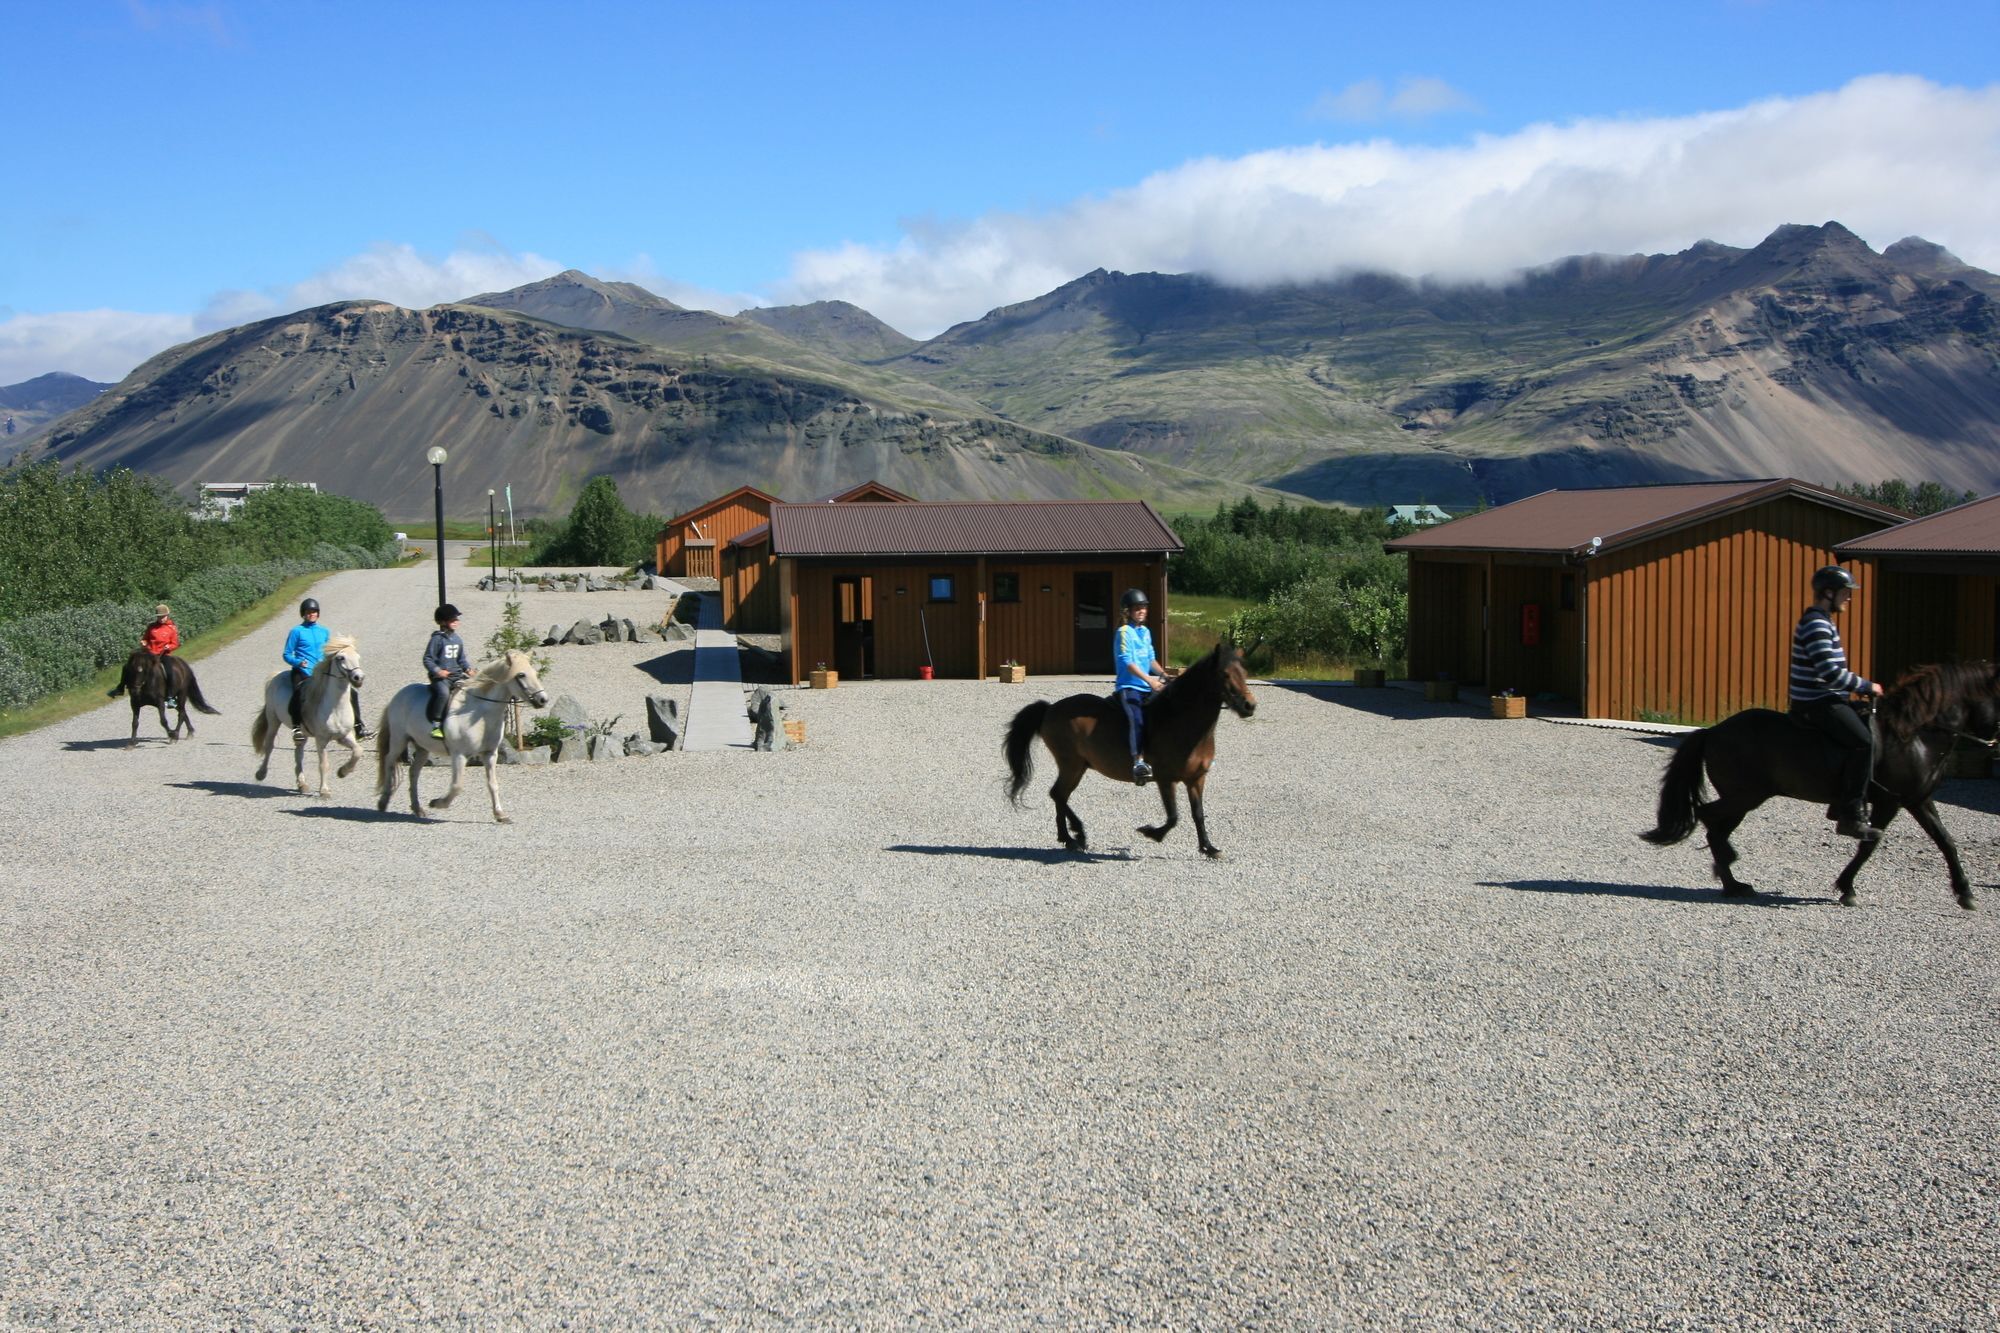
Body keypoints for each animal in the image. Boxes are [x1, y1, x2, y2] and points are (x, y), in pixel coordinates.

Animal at [252, 632, 366, 788]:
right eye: (341, 658)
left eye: (358, 656)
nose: (358, 678)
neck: (335, 708)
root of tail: (276, 676)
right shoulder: (321, 739)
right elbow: (323, 764)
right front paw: (324, 790)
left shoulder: (344, 736)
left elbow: (358, 751)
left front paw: (343, 772)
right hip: (273, 719)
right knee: (269, 746)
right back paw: (261, 774)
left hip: (302, 733)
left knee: (298, 753)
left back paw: (302, 784)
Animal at [372, 644, 548, 820]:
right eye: (521, 675)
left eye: (535, 673)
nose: (543, 700)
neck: (480, 713)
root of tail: (398, 695)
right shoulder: (459, 755)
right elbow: (457, 786)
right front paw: (437, 803)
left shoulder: (490, 754)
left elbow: (493, 784)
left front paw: (500, 814)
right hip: (399, 740)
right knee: (389, 762)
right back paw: (383, 802)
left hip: (422, 748)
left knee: (413, 772)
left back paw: (417, 809)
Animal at [1008, 640, 1256, 856]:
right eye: (1225, 674)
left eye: (1244, 673)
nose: (1249, 706)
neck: (1182, 721)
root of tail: (1049, 709)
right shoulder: (1166, 779)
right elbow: (1173, 816)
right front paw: (1151, 833)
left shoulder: (1196, 779)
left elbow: (1198, 814)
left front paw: (1208, 848)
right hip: (1071, 764)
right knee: (1058, 794)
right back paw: (1073, 837)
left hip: (1079, 766)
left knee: (1060, 795)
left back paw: (1071, 836)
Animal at [1640, 660, 2000, 908]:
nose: (1994, 741)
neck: (1914, 734)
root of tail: (1713, 731)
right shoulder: (1891, 801)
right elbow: (1868, 845)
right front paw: (1847, 888)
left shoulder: (1918, 799)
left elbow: (1946, 842)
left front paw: (1965, 893)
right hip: (1745, 796)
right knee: (1710, 820)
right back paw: (1730, 877)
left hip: (1743, 798)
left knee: (1715, 826)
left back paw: (1732, 880)